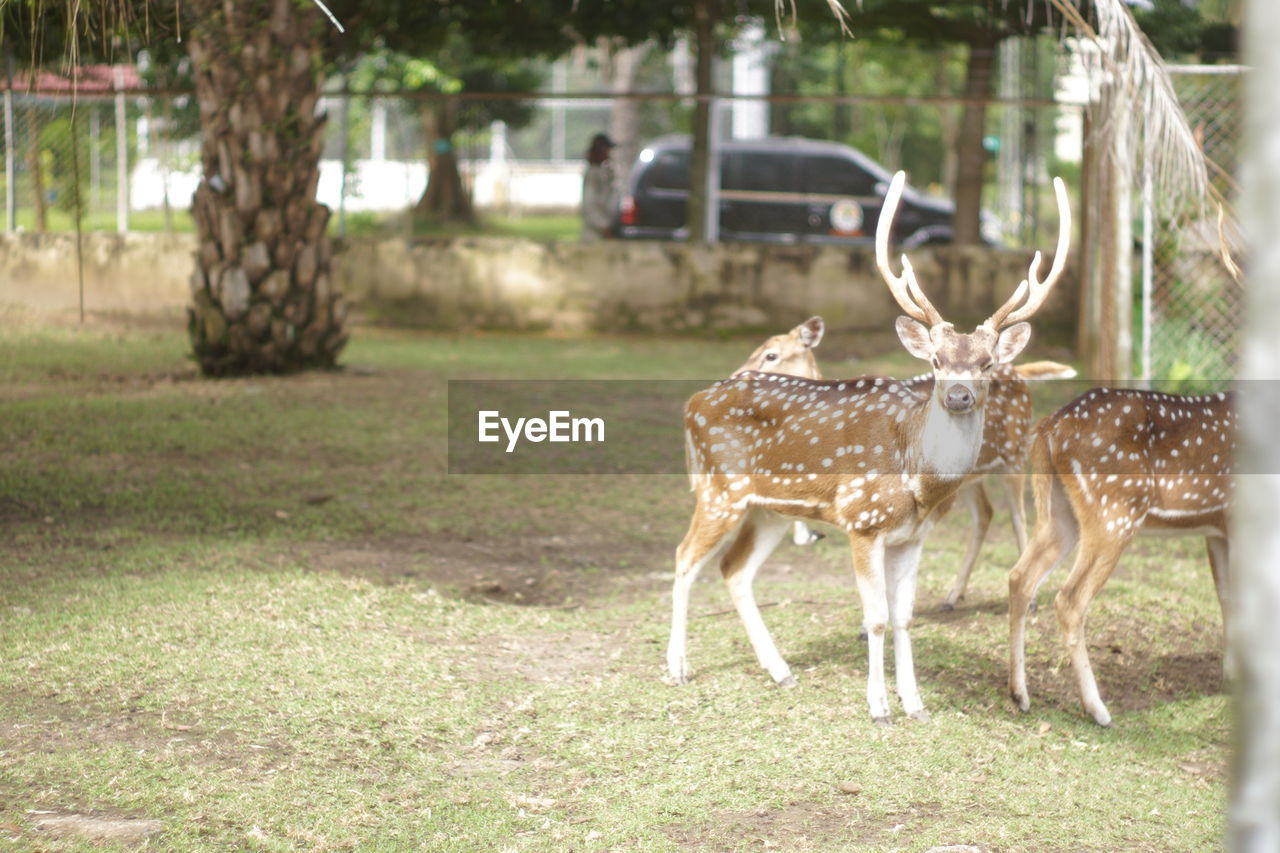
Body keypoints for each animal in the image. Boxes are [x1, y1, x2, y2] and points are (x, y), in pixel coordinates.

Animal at [670, 169, 1070, 722]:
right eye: (938, 361)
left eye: (986, 362)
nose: (959, 394)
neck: (915, 479)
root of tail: (693, 401)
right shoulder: (862, 522)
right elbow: (878, 615)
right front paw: (879, 706)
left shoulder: (912, 536)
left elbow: (903, 617)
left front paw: (915, 704)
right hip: (719, 490)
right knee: (685, 559)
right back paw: (678, 668)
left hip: (767, 508)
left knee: (734, 570)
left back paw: (781, 670)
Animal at [1003, 384, 1233, 722]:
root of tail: (1050, 427)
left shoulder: (1218, 530)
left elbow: (1226, 599)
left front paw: (1232, 677)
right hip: (1114, 513)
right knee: (1070, 599)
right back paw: (1097, 709)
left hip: (1059, 512)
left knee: (1020, 577)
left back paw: (1019, 694)